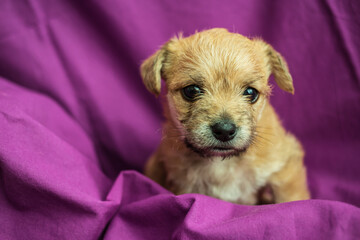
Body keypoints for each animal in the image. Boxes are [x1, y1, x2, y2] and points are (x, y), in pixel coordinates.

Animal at [141, 28, 310, 204]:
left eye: (251, 93)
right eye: (191, 91)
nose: (224, 130)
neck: (221, 164)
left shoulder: (285, 168)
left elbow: (291, 198)